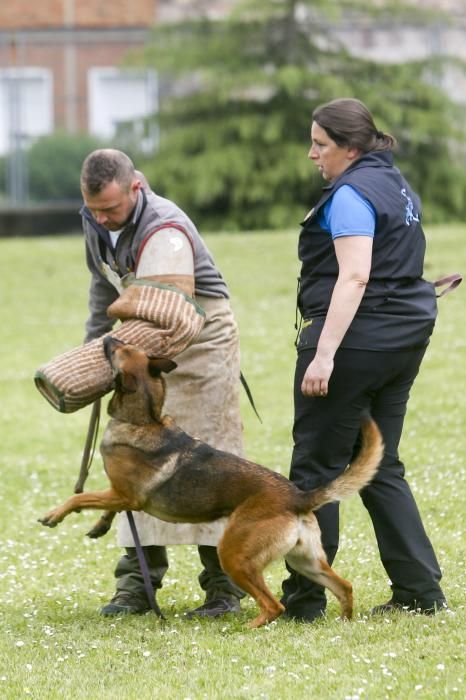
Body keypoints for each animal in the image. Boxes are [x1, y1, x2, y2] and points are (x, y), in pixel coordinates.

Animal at [39, 336, 382, 628]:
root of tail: (298, 496)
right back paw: (345, 622)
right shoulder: (120, 494)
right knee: (344, 586)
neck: (143, 419)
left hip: (234, 555)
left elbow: (79, 497)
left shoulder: (124, 495)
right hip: (304, 560)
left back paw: (247, 628)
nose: (108, 337)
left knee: (273, 605)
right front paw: (99, 526)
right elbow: (103, 507)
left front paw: (53, 515)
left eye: (120, 350)